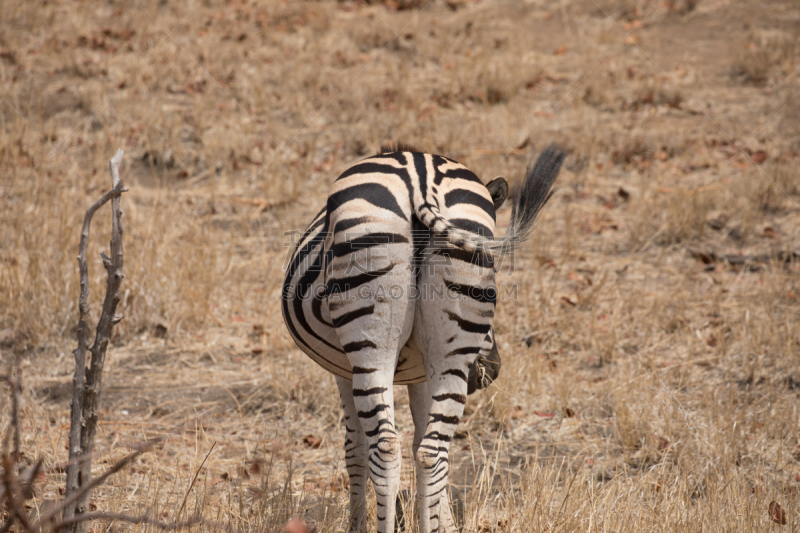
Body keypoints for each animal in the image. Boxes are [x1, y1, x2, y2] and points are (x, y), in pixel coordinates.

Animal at [282, 143, 564, 532]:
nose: (490, 371)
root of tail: (420, 177)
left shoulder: (343, 370)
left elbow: (355, 449)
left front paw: (358, 525)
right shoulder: (423, 373)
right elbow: (419, 445)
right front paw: (443, 523)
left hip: (370, 344)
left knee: (386, 448)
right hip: (454, 339)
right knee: (433, 453)